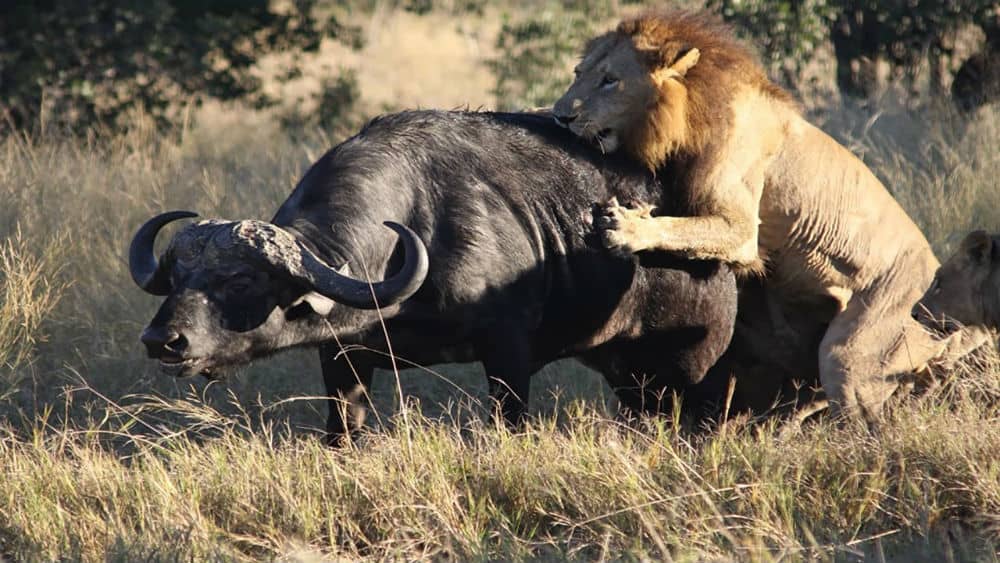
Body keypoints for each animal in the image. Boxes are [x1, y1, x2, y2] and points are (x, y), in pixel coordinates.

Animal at [552, 10, 990, 419]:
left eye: (610, 80)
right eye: (578, 73)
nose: (560, 116)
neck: (687, 115)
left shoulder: (743, 226)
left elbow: (684, 228)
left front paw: (627, 228)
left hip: (858, 344)